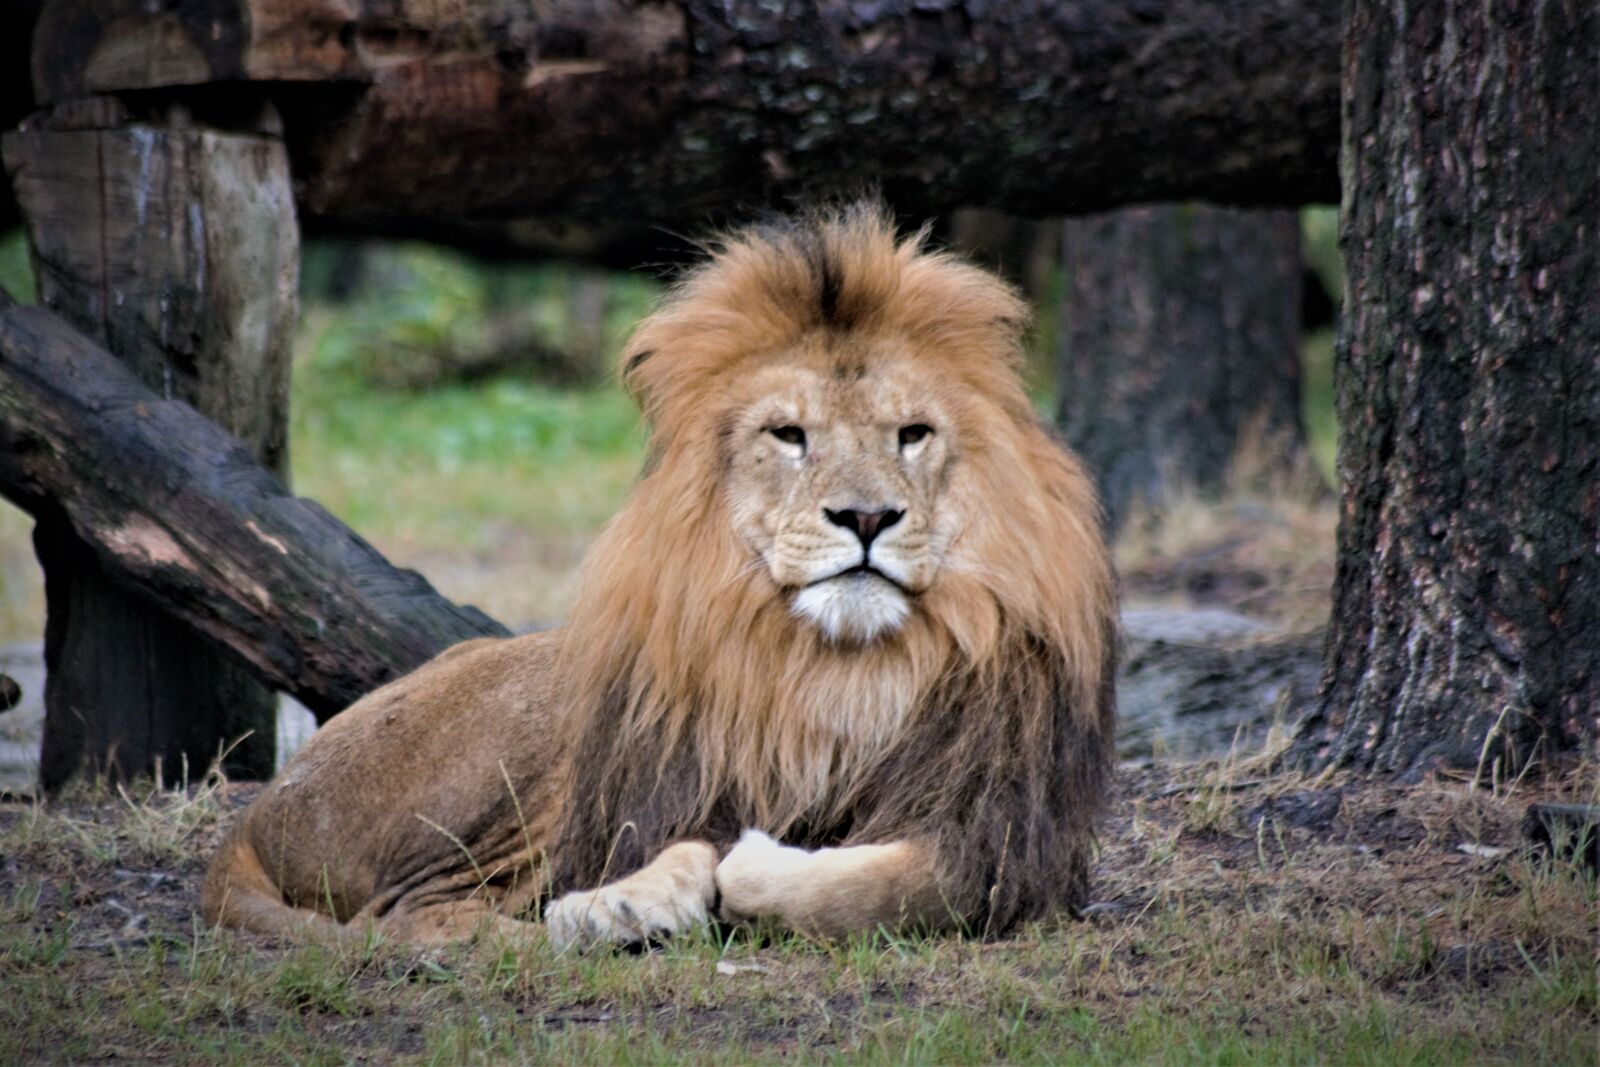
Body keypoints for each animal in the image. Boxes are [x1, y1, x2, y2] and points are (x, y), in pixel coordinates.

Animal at [201, 203, 1117, 950]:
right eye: (789, 434)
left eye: (913, 433)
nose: (865, 518)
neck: (835, 672)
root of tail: (257, 812)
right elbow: (702, 847)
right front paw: (630, 898)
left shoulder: (1002, 840)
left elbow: (883, 888)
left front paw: (727, 874)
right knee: (409, 918)